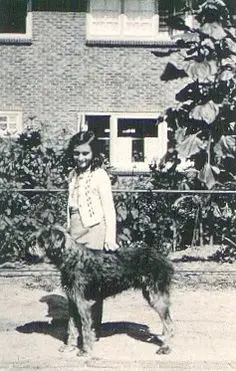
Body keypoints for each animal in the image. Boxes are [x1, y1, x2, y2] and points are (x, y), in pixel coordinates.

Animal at [37, 225, 173, 356]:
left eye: (41, 240)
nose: (31, 248)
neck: (71, 258)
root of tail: (163, 258)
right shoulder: (73, 302)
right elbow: (71, 327)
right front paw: (69, 346)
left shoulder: (83, 304)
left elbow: (85, 329)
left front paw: (86, 350)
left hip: (156, 296)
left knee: (169, 325)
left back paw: (166, 347)